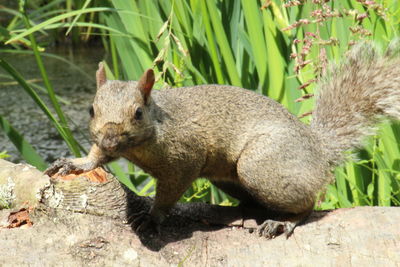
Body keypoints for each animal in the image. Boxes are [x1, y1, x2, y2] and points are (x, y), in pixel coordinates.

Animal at [46, 41, 400, 239]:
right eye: (91, 109)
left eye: (137, 113)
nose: (109, 137)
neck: (145, 142)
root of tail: (318, 150)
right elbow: (97, 157)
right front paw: (75, 163)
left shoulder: (184, 159)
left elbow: (169, 193)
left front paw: (152, 218)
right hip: (232, 178)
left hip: (260, 166)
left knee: (308, 203)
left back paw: (283, 222)